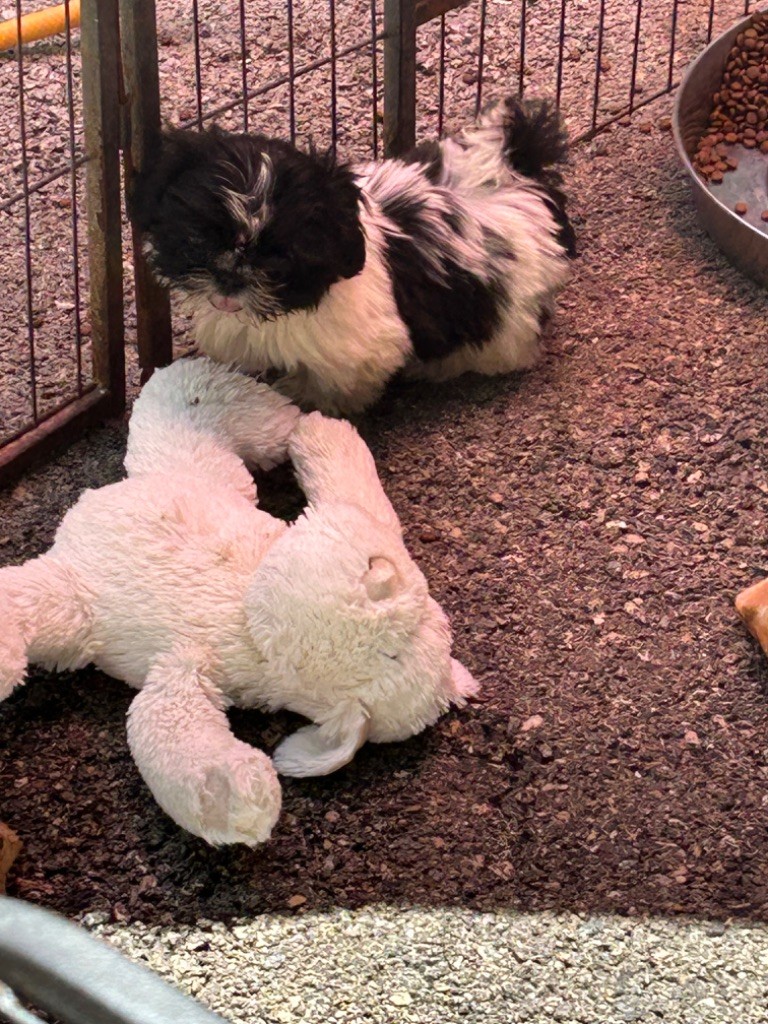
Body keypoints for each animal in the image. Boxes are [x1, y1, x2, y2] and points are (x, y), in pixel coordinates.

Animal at [130, 96, 576, 414]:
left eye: (279, 259)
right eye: (198, 236)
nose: (230, 275)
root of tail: (516, 176)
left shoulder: (358, 348)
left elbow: (334, 384)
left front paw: (307, 401)